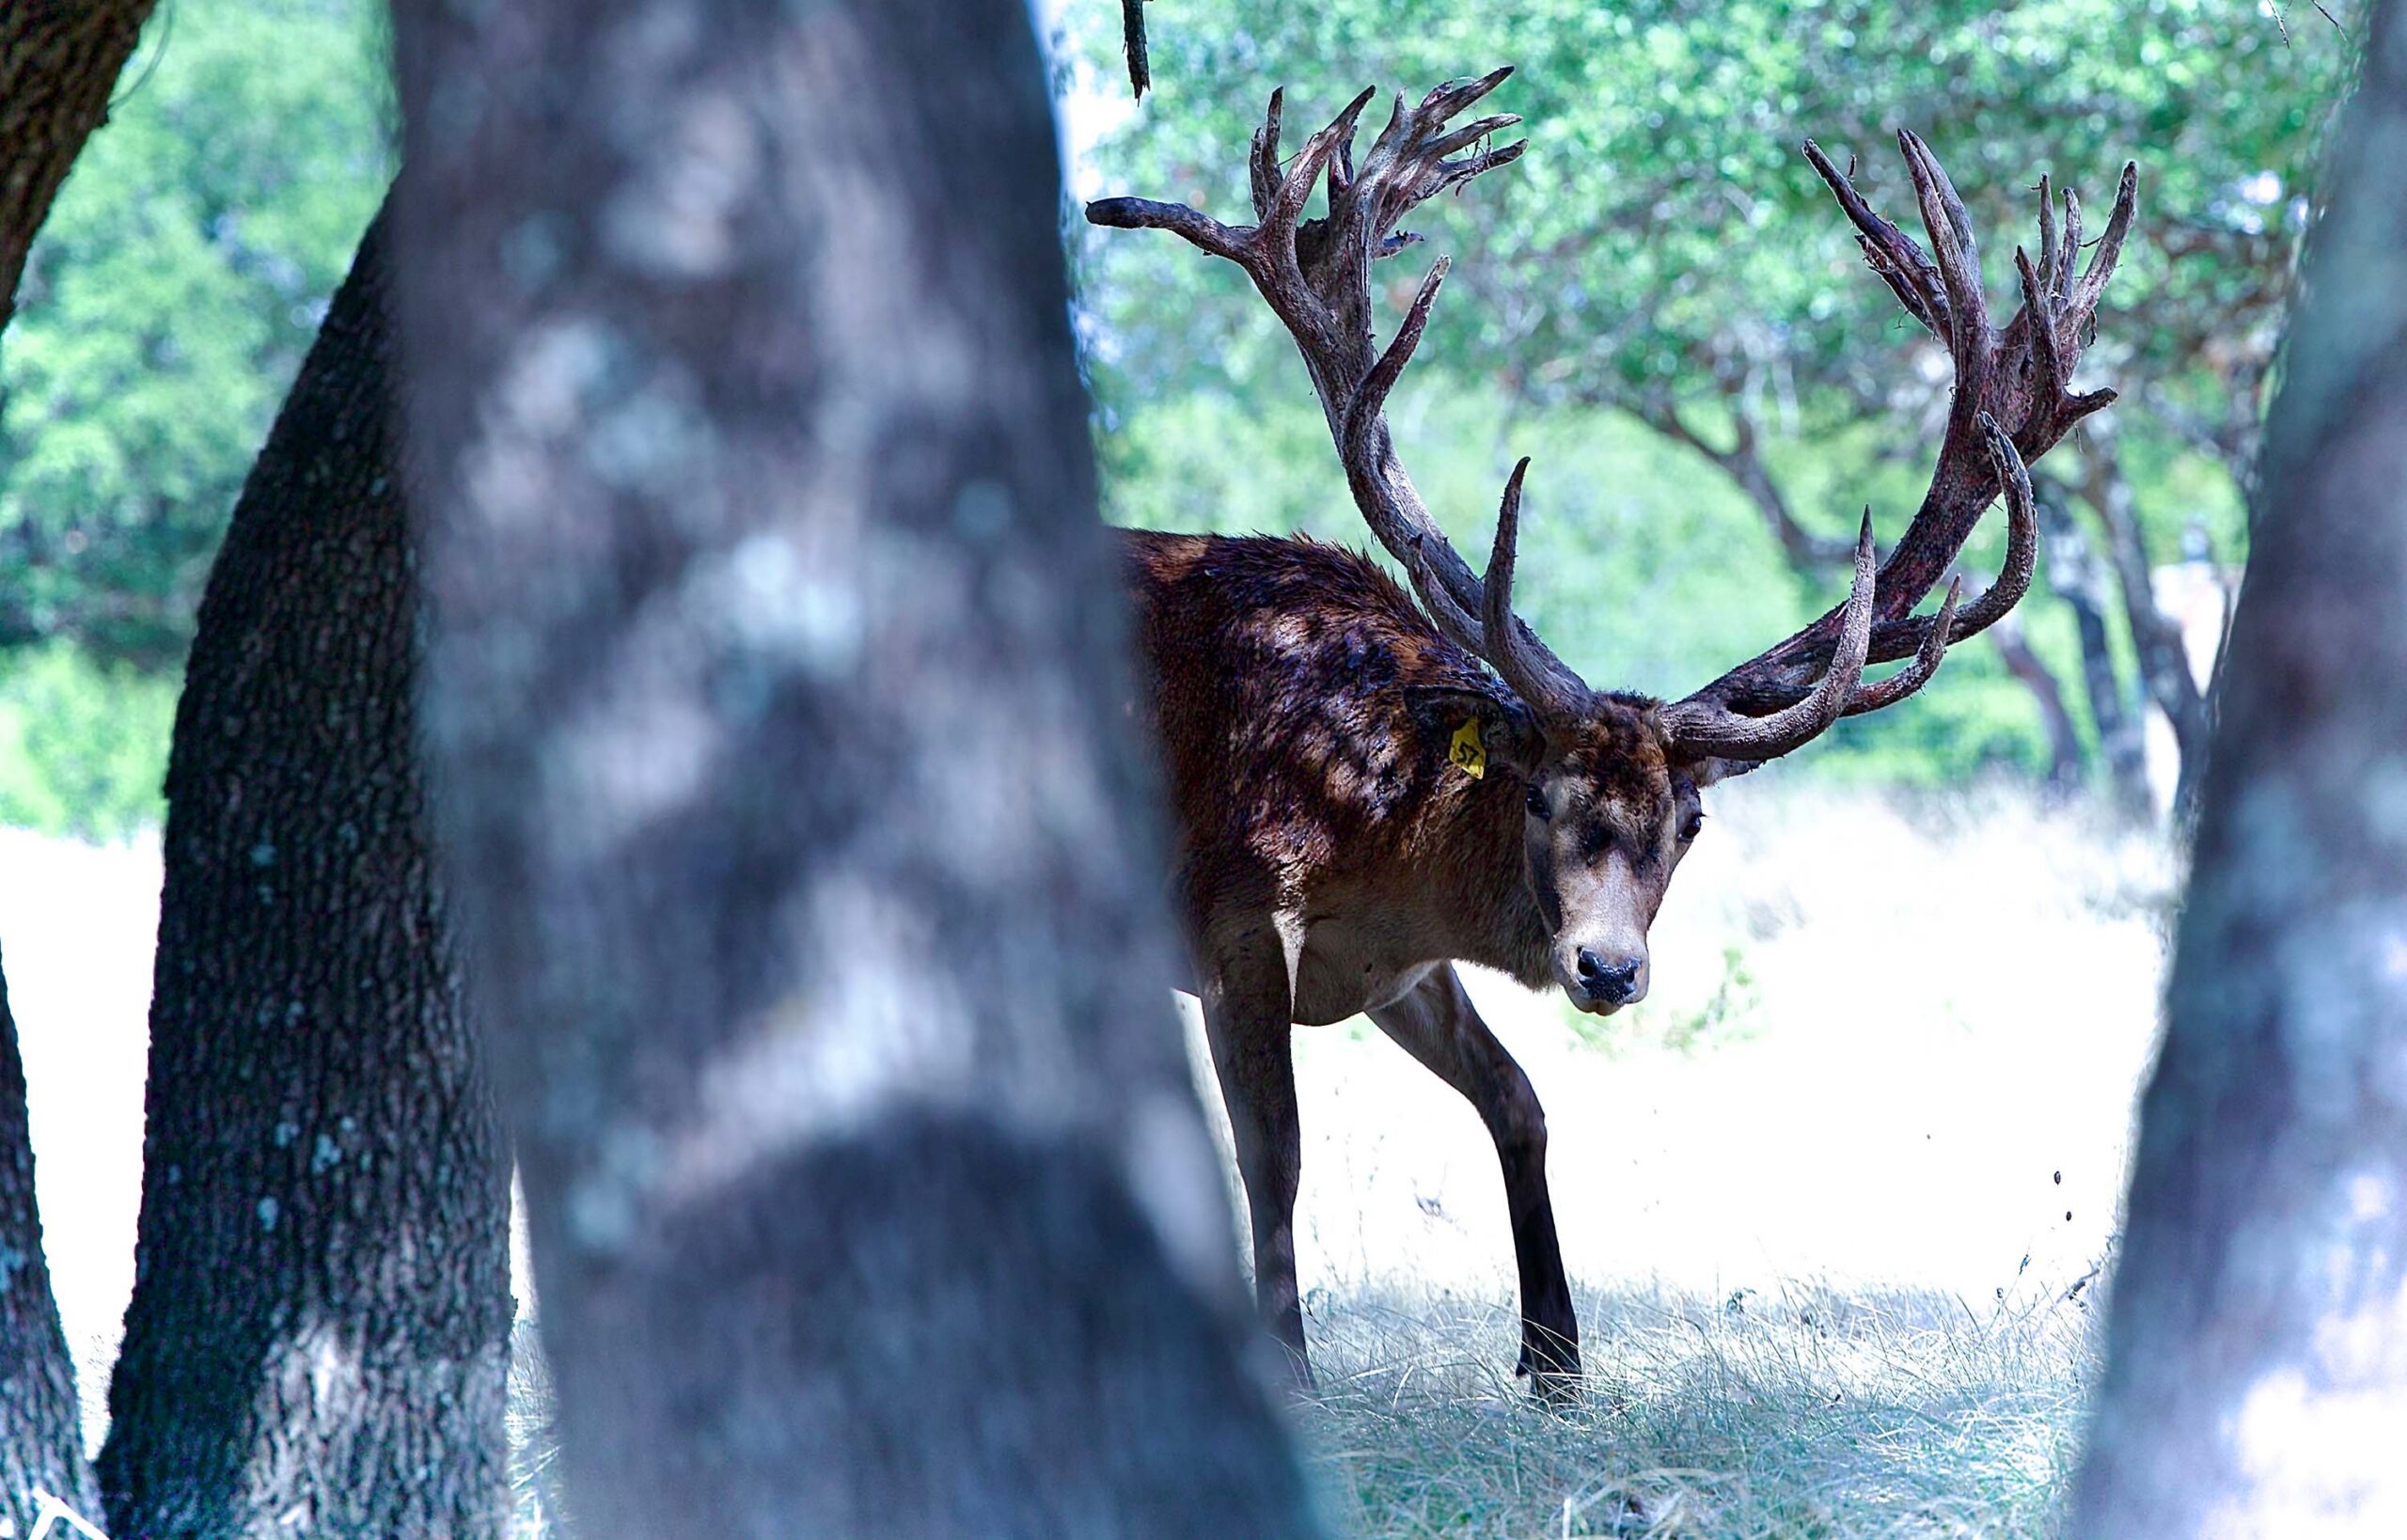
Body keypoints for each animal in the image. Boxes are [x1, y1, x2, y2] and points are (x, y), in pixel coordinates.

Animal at [1090, 69, 2134, 1396]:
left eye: (1688, 823)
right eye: (1541, 797)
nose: (1606, 968)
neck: (1379, 832)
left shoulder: (1397, 968)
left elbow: (1519, 1100)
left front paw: (1555, 1361)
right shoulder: (1237, 913)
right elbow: (1272, 1150)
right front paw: (1290, 1368)